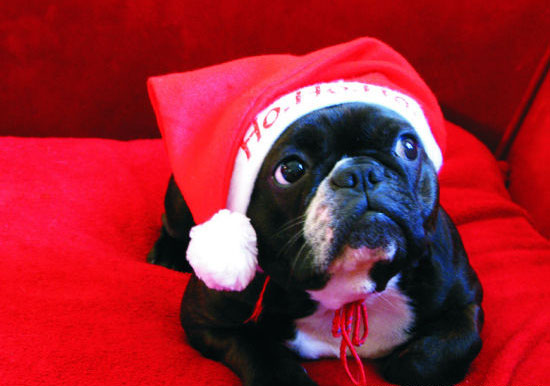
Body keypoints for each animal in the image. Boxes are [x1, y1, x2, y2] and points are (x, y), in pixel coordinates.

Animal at [149, 102, 486, 386]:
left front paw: (405, 362)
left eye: (409, 147)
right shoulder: (206, 319)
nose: (360, 172)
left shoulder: (466, 300)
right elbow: (257, 350)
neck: (351, 286)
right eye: (290, 170)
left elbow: (447, 350)